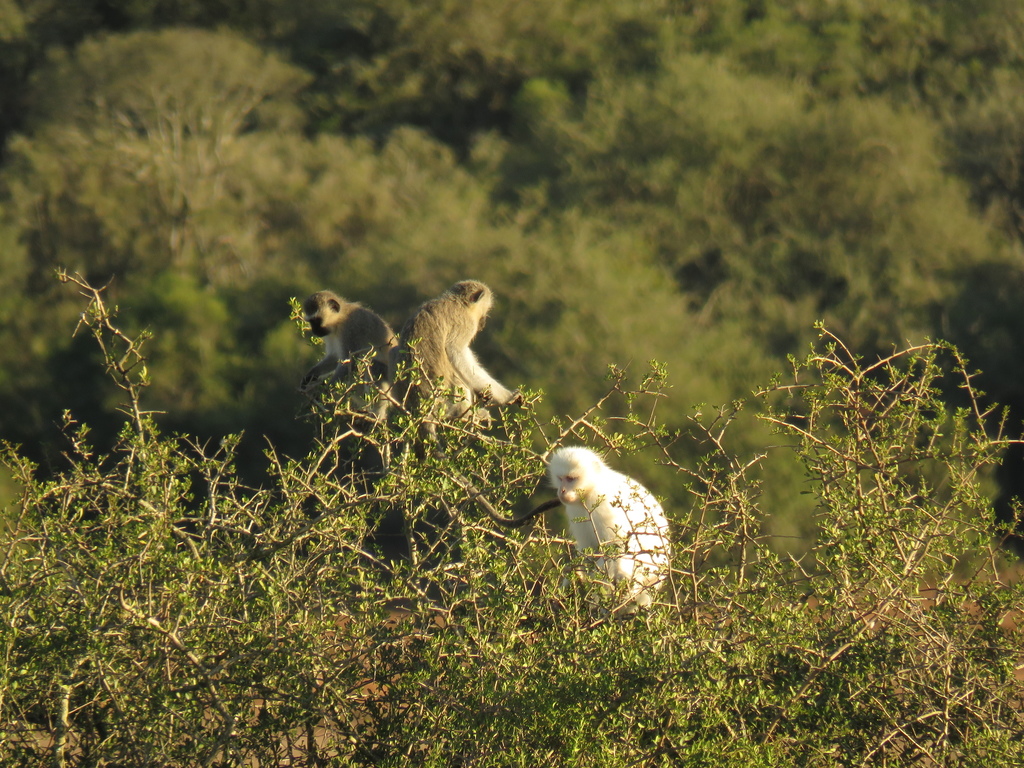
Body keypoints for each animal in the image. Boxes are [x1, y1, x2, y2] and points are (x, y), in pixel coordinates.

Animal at [389, 280, 520, 426]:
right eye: (485, 311)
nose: (483, 323)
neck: (460, 303)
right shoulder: (465, 324)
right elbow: (456, 353)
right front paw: (506, 397)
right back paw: (463, 412)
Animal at [492, 446, 671, 613]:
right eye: (561, 478)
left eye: (571, 479)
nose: (562, 491)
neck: (592, 488)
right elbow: (588, 550)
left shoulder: (604, 502)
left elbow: (620, 546)